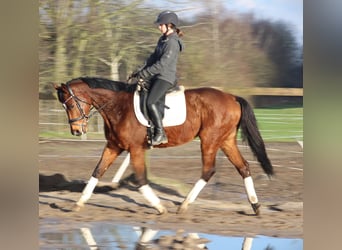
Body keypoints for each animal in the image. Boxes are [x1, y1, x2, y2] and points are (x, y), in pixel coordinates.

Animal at [54, 77, 272, 216]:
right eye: (64, 106)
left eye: (70, 104)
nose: (76, 131)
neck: (118, 106)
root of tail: (232, 97)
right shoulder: (114, 146)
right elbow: (97, 171)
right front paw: (78, 203)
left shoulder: (135, 149)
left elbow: (141, 179)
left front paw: (159, 207)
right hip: (225, 141)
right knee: (243, 167)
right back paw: (255, 206)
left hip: (210, 140)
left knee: (208, 171)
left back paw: (183, 206)